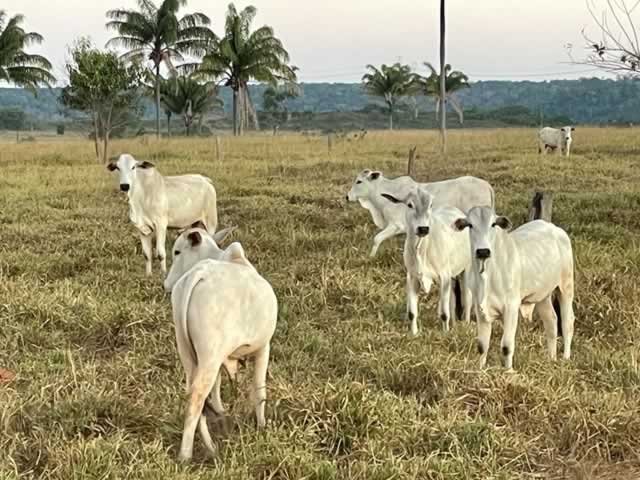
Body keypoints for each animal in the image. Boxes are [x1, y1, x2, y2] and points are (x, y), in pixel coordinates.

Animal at [164, 227, 278, 462]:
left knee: (195, 395)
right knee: (197, 397)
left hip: (190, 354)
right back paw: (185, 455)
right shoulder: (264, 347)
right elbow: (259, 390)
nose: (166, 284)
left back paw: (210, 447)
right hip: (210, 356)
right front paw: (262, 427)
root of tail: (200, 272)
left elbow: (216, 394)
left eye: (177, 251)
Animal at [346, 170, 495, 257]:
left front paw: (370, 257)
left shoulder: (396, 225)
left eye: (359, 181)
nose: (347, 197)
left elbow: (377, 238)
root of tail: (486, 185)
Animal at [381, 186, 472, 334]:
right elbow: (412, 313)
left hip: (466, 270)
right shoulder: (412, 277)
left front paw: (445, 334)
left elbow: (444, 313)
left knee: (467, 298)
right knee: (452, 299)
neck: (421, 249)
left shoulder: (444, 276)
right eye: (410, 205)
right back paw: (453, 323)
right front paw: (414, 333)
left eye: (430, 205)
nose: (423, 228)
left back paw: (466, 323)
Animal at [453, 206, 575, 370]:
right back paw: (551, 359)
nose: (483, 251)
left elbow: (506, 346)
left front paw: (508, 371)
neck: (488, 275)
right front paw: (481, 370)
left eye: (493, 224)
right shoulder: (480, 309)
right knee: (551, 322)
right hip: (543, 295)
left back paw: (566, 359)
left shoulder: (511, 307)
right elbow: (482, 345)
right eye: (470, 225)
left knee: (567, 322)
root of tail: (554, 228)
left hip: (566, 286)